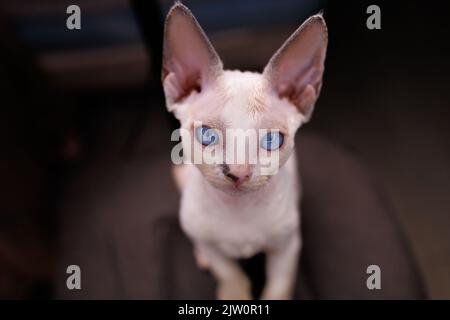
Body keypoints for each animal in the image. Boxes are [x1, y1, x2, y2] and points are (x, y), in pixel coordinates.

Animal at [162, 3, 326, 300]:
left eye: (272, 140)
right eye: (207, 135)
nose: (238, 172)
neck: (237, 211)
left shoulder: (287, 246)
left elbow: (279, 287)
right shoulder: (211, 245)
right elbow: (229, 273)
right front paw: (233, 294)